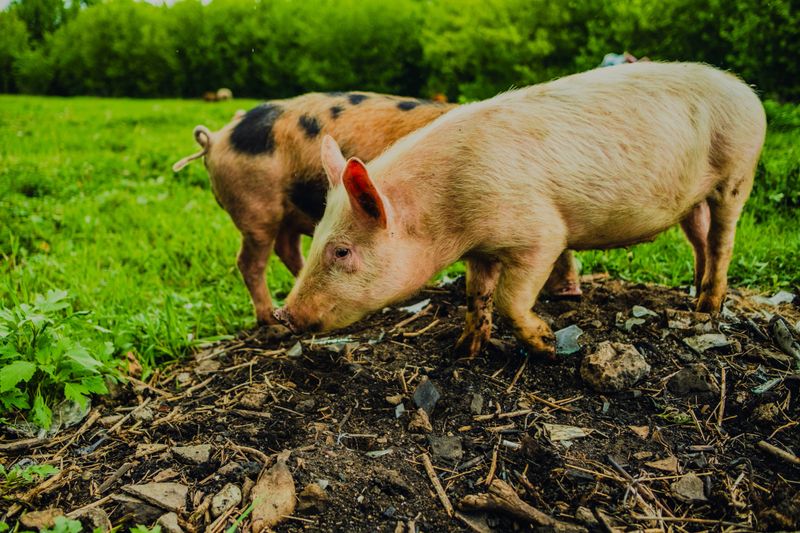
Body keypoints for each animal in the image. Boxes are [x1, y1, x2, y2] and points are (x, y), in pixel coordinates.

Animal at [173, 91, 582, 326]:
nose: (573, 293)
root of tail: (216, 138)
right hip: (255, 210)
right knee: (250, 261)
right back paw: (269, 324)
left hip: (284, 211)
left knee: (287, 248)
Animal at [275, 62, 766, 359]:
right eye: (317, 241)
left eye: (341, 251)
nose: (284, 315)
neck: (450, 216)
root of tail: (746, 89)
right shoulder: (480, 250)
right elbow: (477, 294)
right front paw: (464, 349)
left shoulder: (541, 235)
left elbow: (511, 296)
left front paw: (547, 344)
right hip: (693, 198)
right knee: (700, 238)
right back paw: (694, 294)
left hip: (738, 171)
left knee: (723, 239)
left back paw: (707, 306)